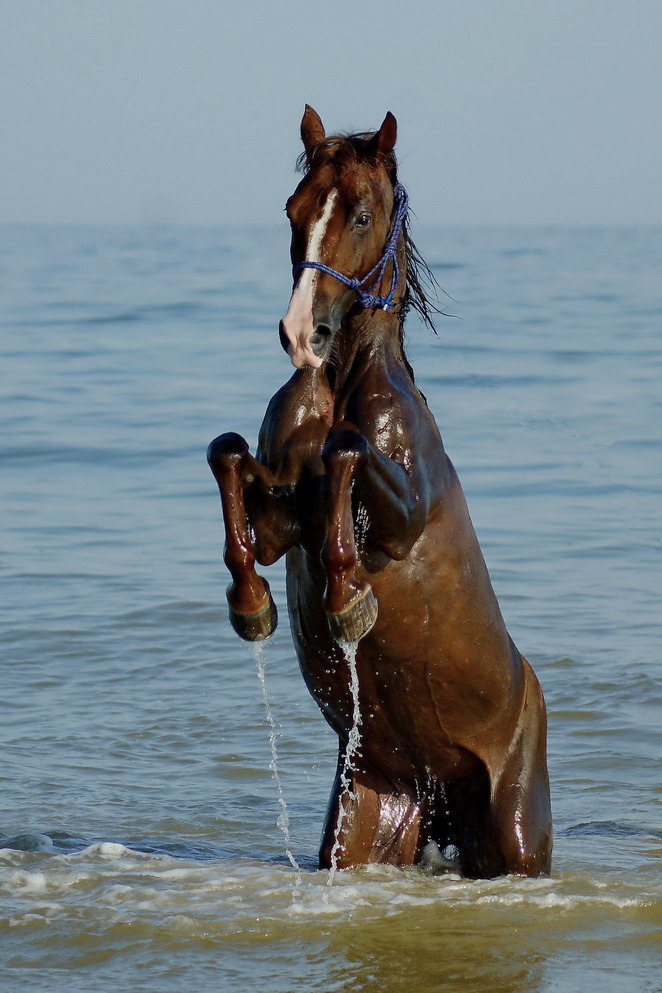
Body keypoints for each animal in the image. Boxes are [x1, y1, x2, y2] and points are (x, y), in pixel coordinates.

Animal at [209, 104, 556, 872]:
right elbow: (229, 456)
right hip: (370, 808)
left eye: (362, 214)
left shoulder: (398, 522)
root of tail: (436, 788)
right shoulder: (280, 518)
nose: (301, 333)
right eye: (294, 209)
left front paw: (348, 604)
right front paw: (252, 606)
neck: (340, 387)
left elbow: (348, 450)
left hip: (515, 831)